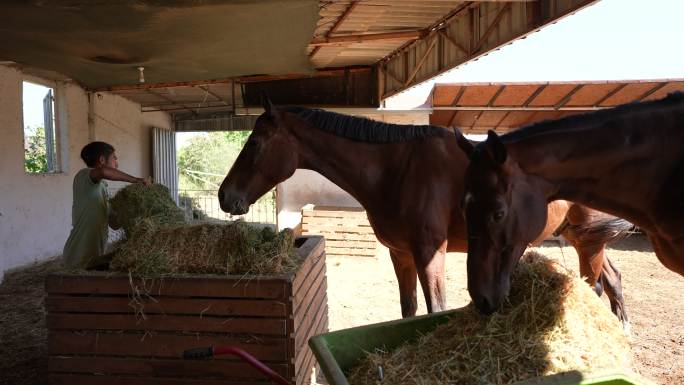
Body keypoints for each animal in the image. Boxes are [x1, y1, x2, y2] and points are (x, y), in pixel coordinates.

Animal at [219, 97, 632, 322]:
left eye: (254, 143)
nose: (226, 196)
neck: (396, 168)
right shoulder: (400, 253)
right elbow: (409, 309)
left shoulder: (430, 252)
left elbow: (435, 308)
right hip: (583, 239)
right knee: (612, 280)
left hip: (589, 242)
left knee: (597, 284)